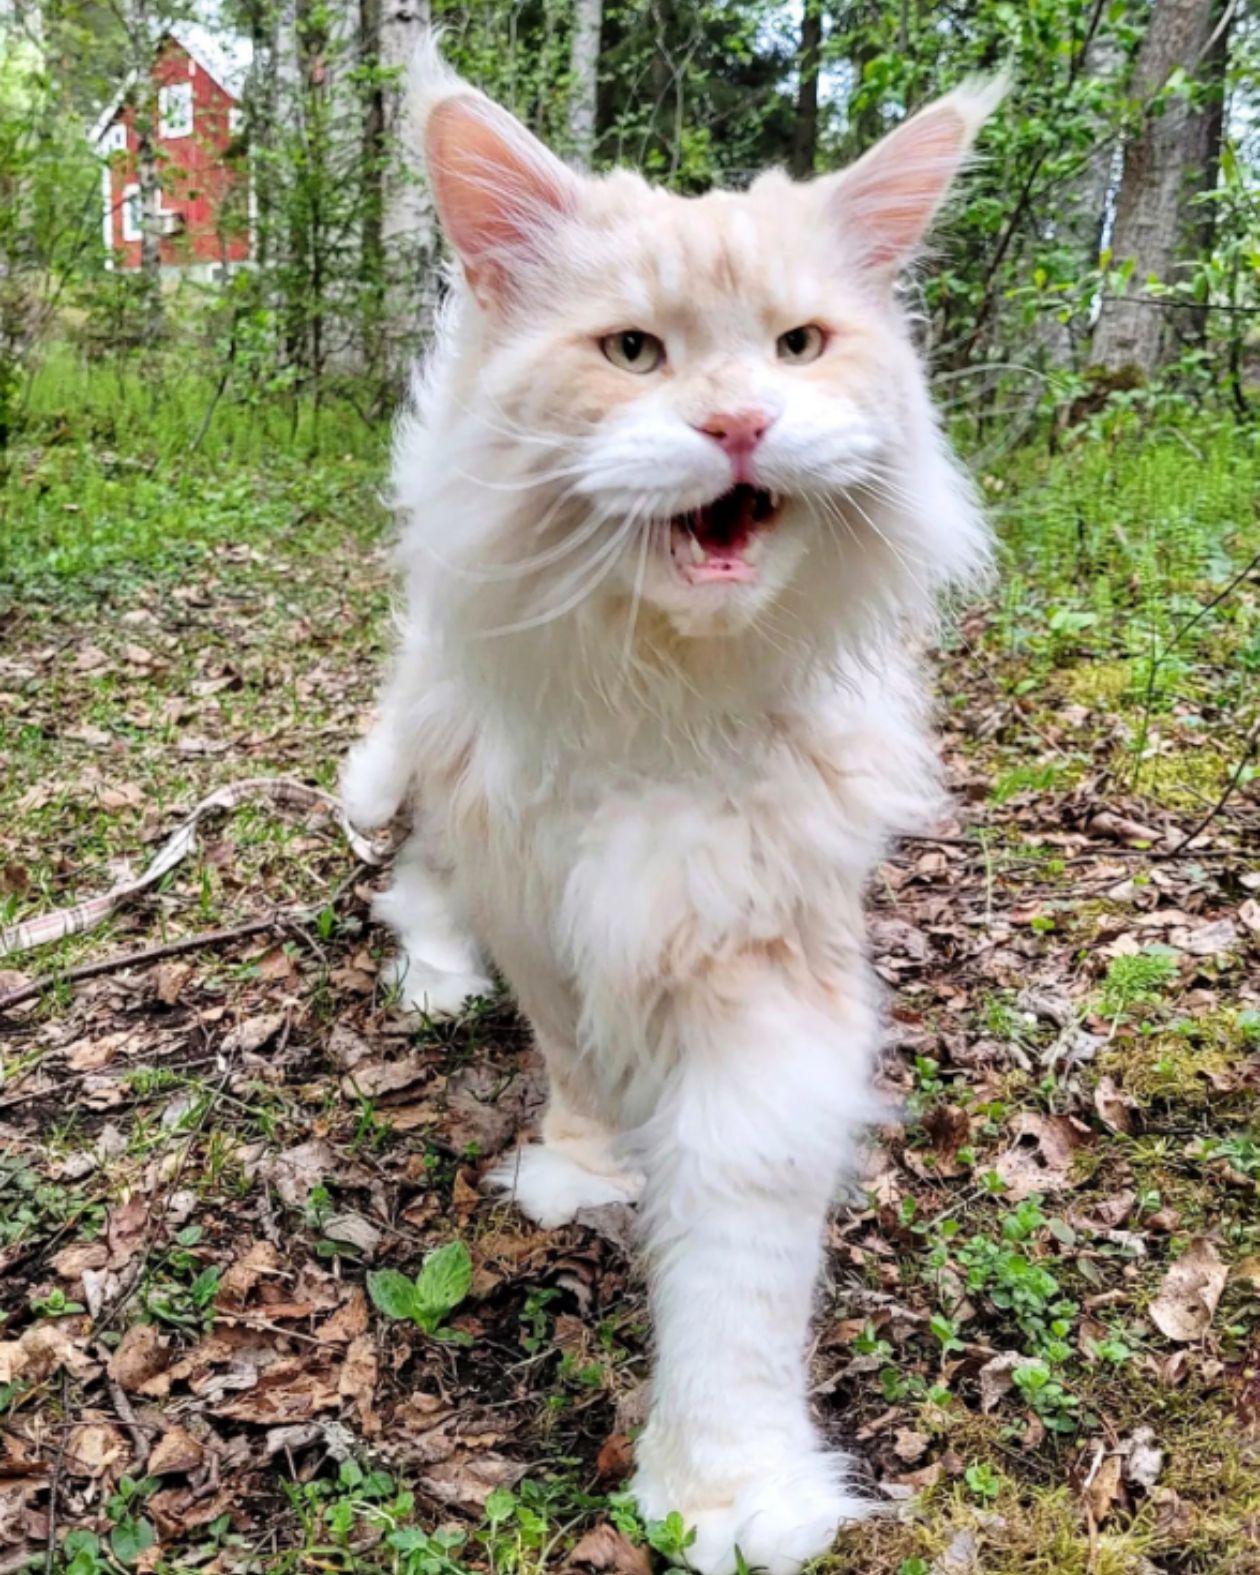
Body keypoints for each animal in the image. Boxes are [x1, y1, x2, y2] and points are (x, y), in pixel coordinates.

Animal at [344, 39, 995, 1575]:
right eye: (633, 353)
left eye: (800, 348)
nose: (739, 423)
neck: (665, 701)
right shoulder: (541, 897)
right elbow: (575, 1061)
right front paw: (583, 1176)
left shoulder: (763, 959)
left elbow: (737, 1268)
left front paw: (727, 1488)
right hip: (431, 751)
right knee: (415, 877)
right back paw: (433, 978)